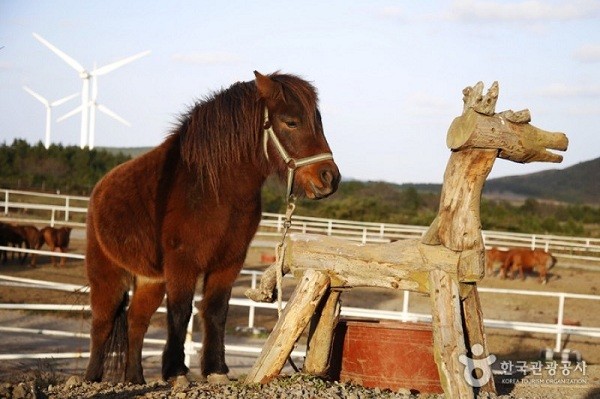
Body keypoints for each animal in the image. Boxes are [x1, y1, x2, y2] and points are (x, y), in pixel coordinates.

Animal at [84, 70, 340, 386]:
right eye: (291, 121)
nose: (329, 178)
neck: (214, 189)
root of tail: (101, 188)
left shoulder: (229, 262)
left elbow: (216, 311)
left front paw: (216, 369)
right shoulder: (182, 262)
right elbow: (180, 312)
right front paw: (177, 371)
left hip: (149, 280)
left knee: (136, 322)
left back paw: (136, 380)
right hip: (106, 272)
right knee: (103, 323)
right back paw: (91, 378)